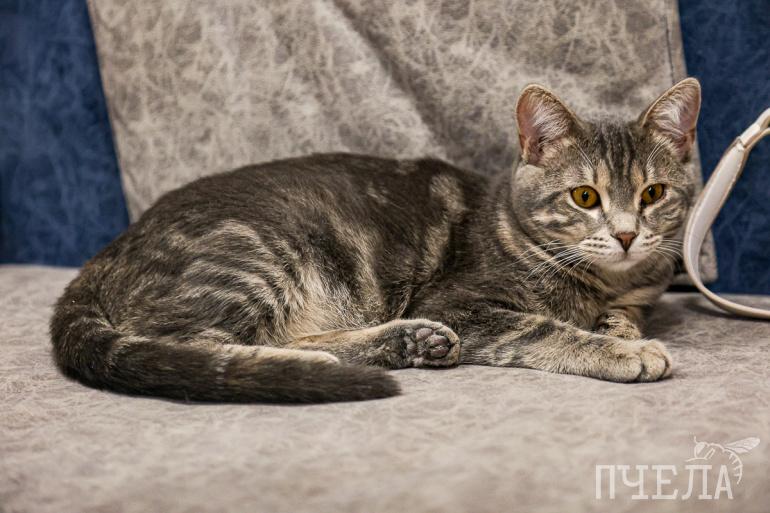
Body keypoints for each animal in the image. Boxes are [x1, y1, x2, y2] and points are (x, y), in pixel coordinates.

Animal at [50, 78, 701, 403]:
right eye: (584, 197)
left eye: (653, 193)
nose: (626, 235)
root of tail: (106, 253)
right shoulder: (463, 304)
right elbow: (542, 329)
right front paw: (621, 350)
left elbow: (624, 314)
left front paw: (620, 330)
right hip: (257, 255)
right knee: (204, 348)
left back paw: (409, 342)